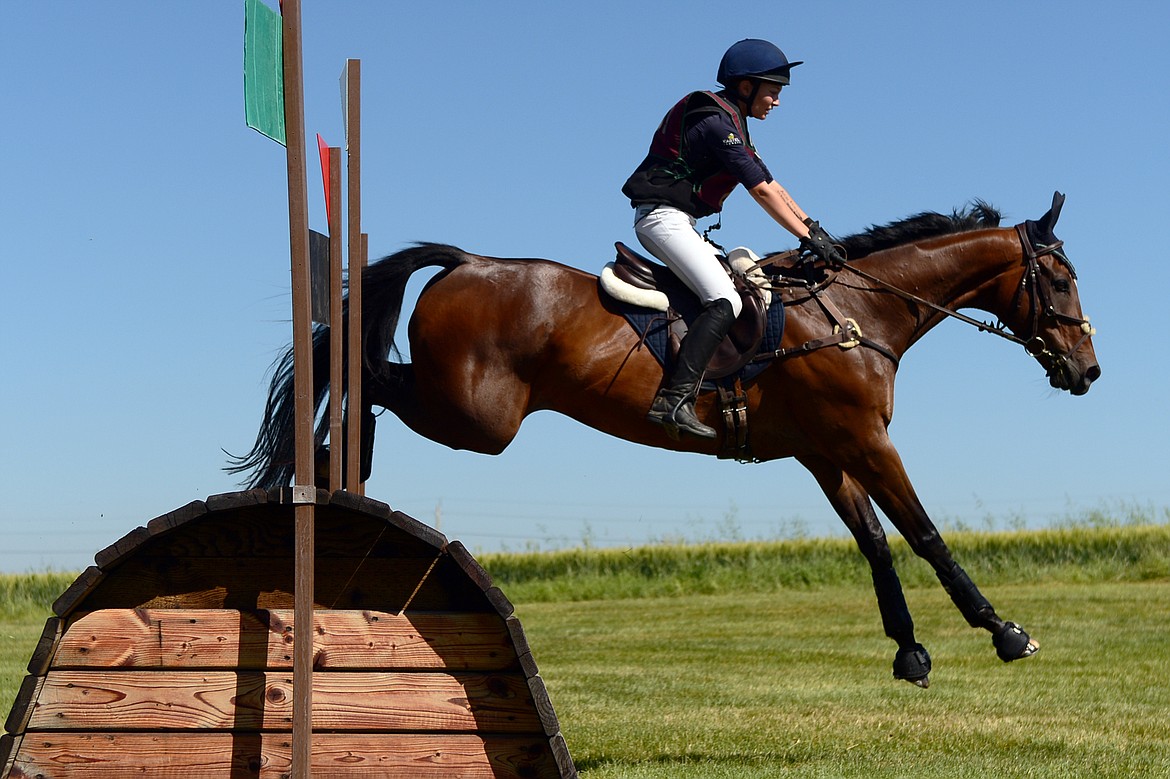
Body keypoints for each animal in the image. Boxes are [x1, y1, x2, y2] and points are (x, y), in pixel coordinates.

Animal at [235, 190, 1095, 683]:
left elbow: (877, 544)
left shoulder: (827, 451)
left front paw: (909, 652)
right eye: (1060, 279)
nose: (1087, 370)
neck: (855, 312)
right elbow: (924, 534)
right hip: (476, 416)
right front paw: (1005, 631)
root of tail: (468, 261)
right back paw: (331, 455)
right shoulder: (864, 442)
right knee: (367, 372)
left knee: (369, 372)